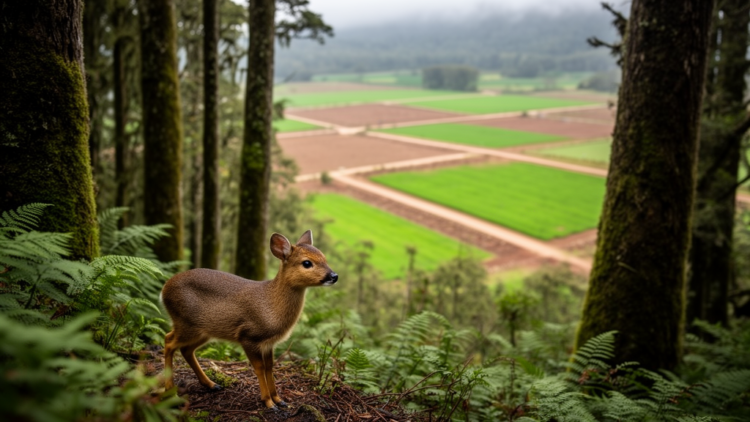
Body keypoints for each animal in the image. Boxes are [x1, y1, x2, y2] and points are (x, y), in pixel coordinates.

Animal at [160, 230, 338, 409]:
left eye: (324, 257)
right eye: (307, 263)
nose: (334, 276)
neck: (271, 307)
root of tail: (164, 289)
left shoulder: (268, 343)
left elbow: (269, 367)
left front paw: (279, 400)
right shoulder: (248, 336)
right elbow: (259, 368)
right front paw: (268, 402)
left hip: (203, 330)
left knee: (185, 349)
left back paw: (211, 384)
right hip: (185, 323)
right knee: (168, 341)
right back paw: (170, 390)